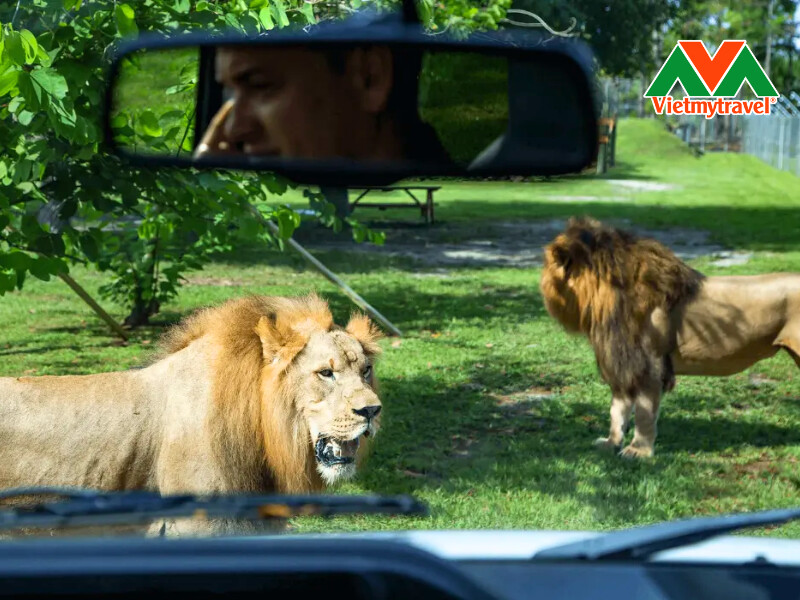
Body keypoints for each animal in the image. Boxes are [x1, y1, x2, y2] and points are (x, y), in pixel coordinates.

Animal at [540, 217, 800, 459]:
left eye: (546, 266)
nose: (540, 286)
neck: (603, 302)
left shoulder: (649, 365)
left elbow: (644, 415)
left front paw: (638, 451)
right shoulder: (622, 364)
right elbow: (617, 411)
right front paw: (611, 444)